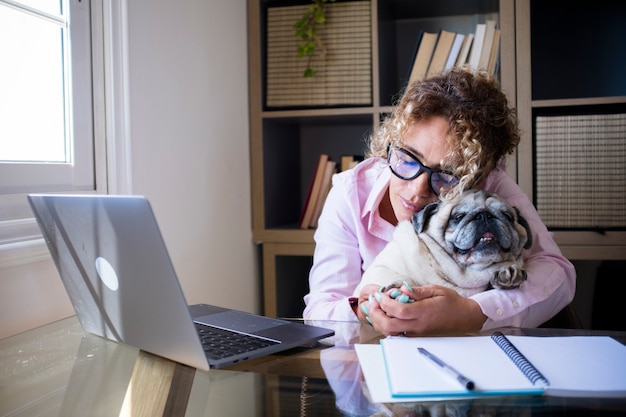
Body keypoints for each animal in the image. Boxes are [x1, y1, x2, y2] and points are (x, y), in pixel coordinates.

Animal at [354, 190, 528, 298]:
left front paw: (510, 275)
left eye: (508, 216)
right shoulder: (379, 269)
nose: (484, 215)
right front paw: (399, 287)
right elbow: (403, 278)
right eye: (457, 217)